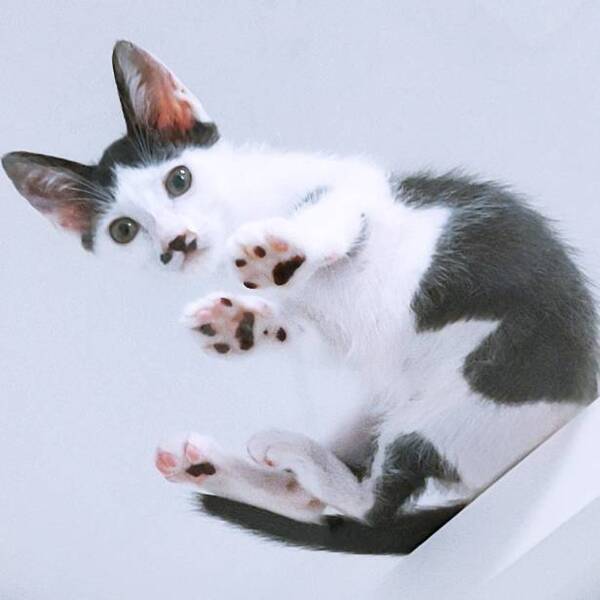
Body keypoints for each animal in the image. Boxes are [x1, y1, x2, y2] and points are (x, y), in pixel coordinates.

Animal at [3, 41, 598, 555]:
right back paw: (218, 465)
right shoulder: (323, 329)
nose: (177, 242)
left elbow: (331, 214)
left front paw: (277, 252)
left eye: (179, 179)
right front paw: (241, 324)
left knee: (372, 506)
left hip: (480, 383)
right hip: (390, 410)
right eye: (123, 230)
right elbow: (299, 328)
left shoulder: (360, 192)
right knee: (328, 499)